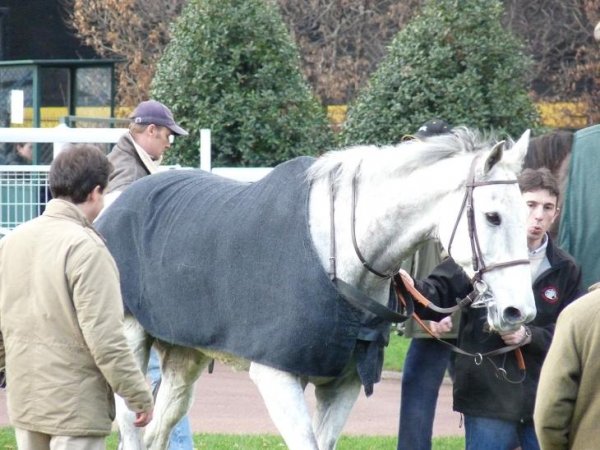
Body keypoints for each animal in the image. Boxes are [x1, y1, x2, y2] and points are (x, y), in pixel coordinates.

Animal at [101, 126, 536, 450]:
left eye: (528, 211)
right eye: (493, 216)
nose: (519, 312)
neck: (336, 254)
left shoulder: (345, 383)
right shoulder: (277, 377)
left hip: (184, 356)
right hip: (129, 342)